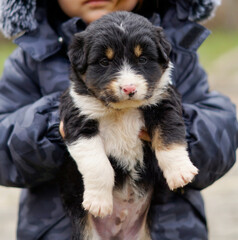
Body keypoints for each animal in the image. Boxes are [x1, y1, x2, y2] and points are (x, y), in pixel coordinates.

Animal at [58, 11, 198, 240]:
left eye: (143, 59)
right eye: (104, 62)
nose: (129, 88)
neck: (122, 110)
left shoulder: (165, 103)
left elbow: (169, 139)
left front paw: (180, 172)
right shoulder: (78, 117)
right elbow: (97, 164)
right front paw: (98, 202)